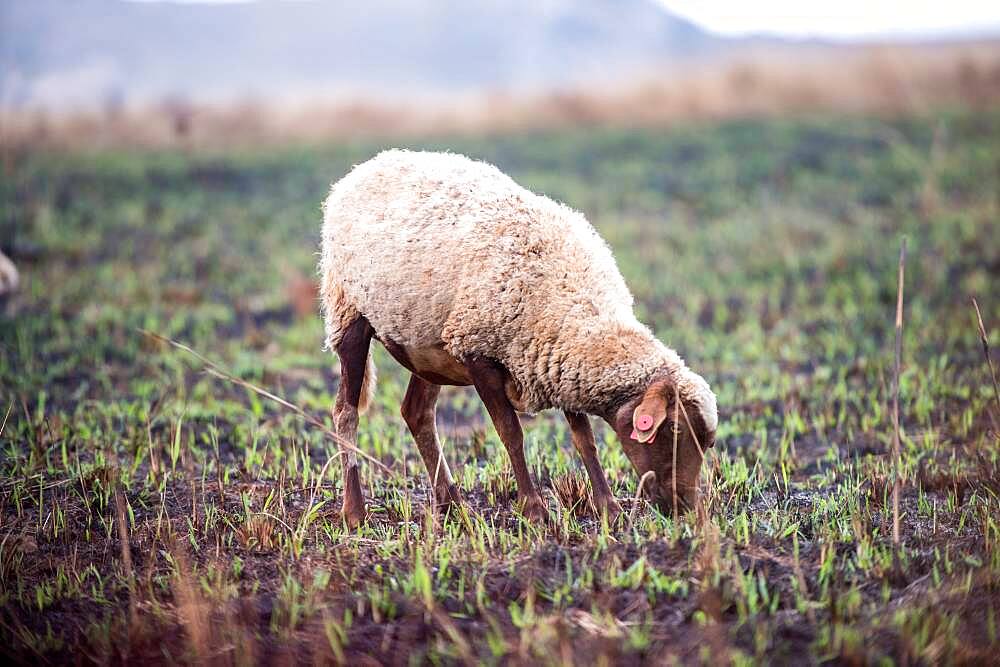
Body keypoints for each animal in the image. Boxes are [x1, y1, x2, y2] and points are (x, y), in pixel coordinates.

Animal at [316, 151, 716, 528]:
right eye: (675, 428)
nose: (684, 507)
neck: (575, 298)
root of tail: (369, 165)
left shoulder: (556, 358)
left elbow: (584, 439)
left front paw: (609, 509)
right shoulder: (479, 353)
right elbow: (511, 433)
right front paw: (535, 511)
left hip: (429, 346)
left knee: (417, 413)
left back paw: (453, 508)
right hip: (348, 310)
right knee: (346, 413)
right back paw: (355, 512)